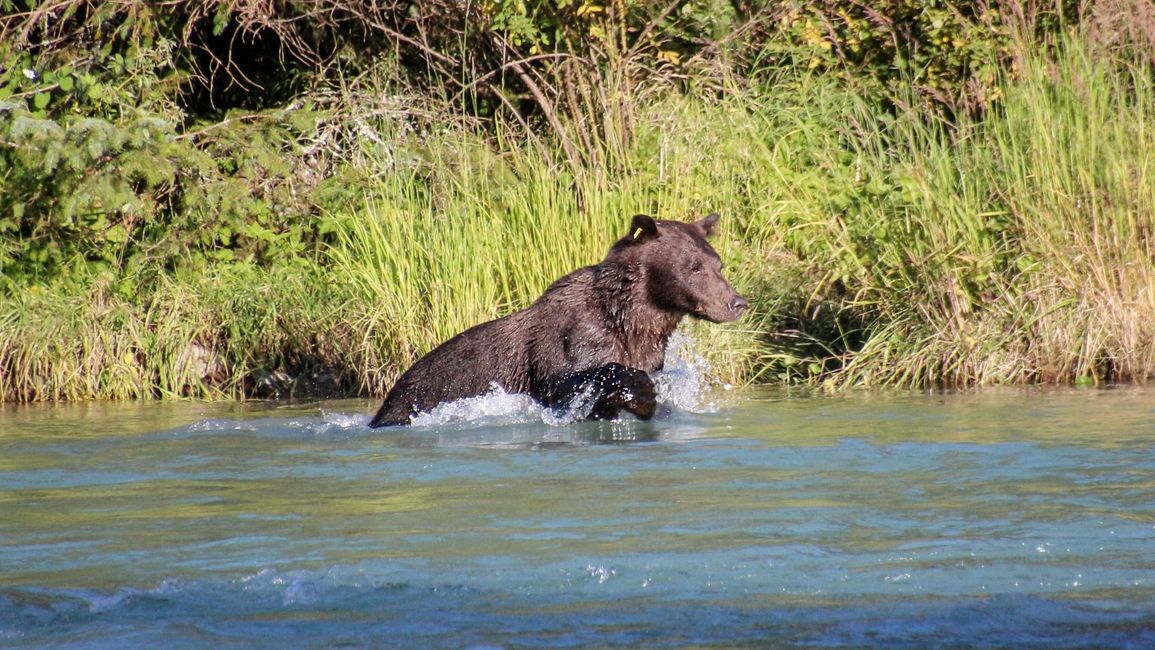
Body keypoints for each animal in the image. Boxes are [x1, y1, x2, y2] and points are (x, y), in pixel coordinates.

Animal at [369, 212, 748, 427]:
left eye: (718, 264)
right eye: (693, 267)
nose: (737, 302)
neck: (633, 316)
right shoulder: (571, 339)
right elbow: (568, 379)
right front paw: (640, 393)